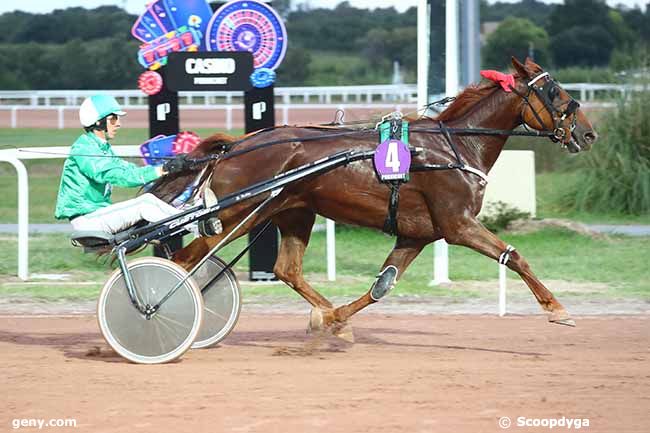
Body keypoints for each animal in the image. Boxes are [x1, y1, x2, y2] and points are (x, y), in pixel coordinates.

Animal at [149, 57, 596, 340]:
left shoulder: (417, 234)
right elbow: (514, 256)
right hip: (235, 215)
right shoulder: (458, 224)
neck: (454, 147)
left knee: (286, 269)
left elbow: (382, 286)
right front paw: (558, 310)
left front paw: (333, 321)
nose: (588, 133)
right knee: (183, 262)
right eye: (555, 92)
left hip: (292, 212)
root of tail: (237, 145)